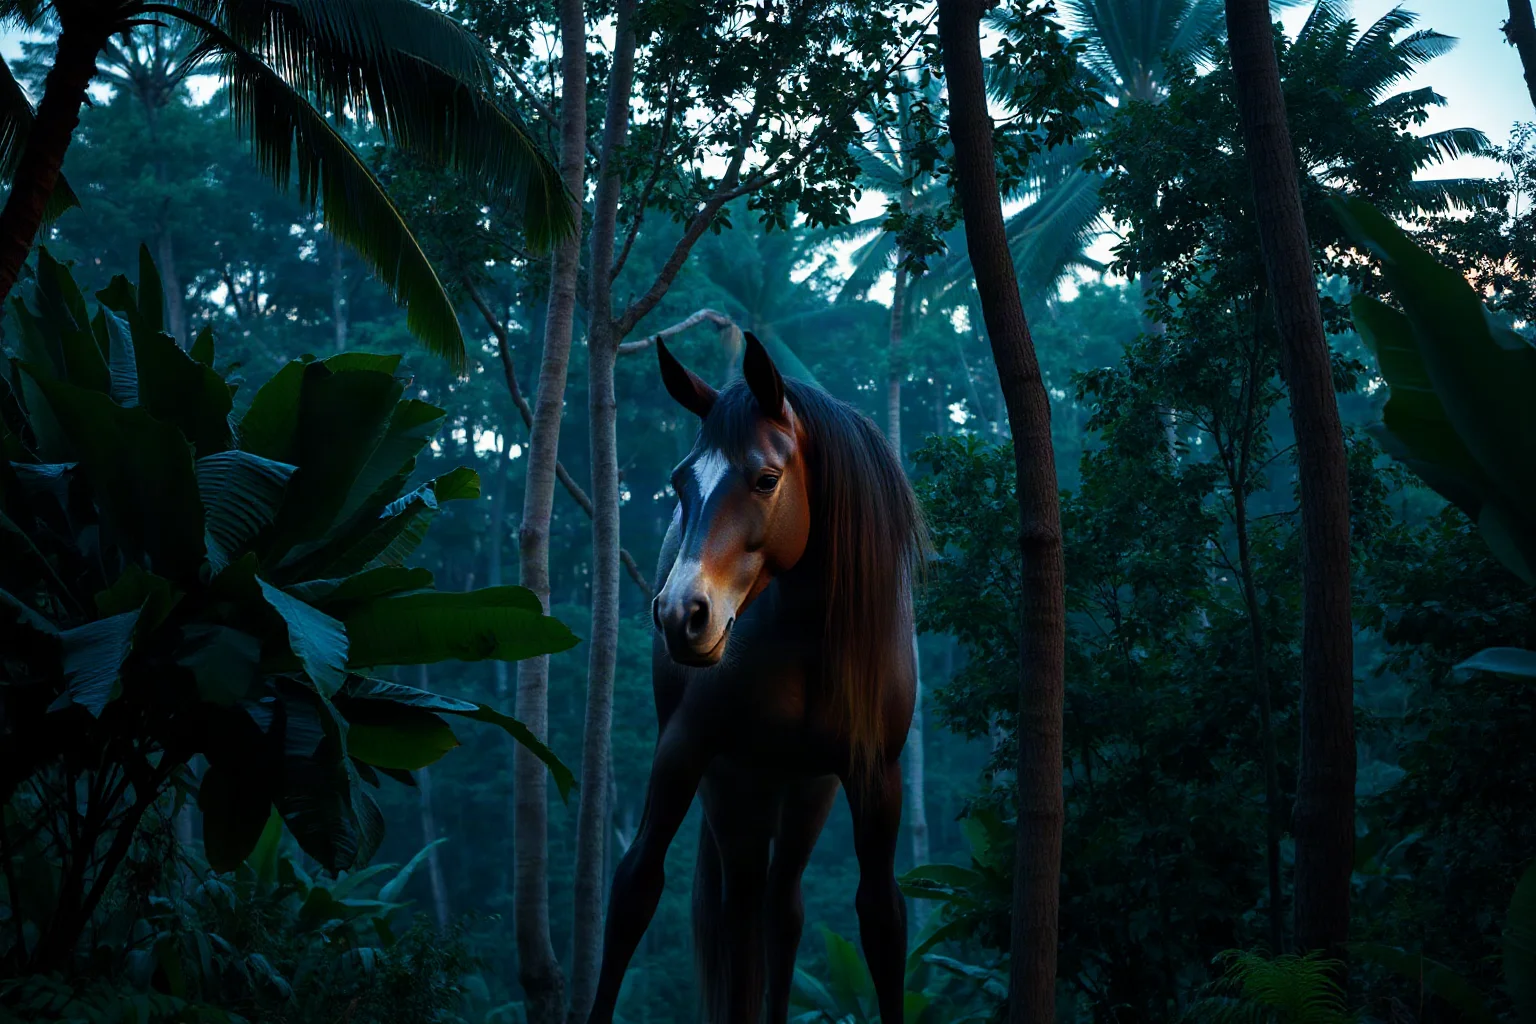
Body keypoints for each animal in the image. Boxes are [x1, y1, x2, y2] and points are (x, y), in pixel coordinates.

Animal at [584, 332, 923, 1024]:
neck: (804, 638)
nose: (679, 614)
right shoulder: (686, 749)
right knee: (740, 909)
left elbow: (882, 919)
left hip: (802, 791)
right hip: (737, 784)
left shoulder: (876, 776)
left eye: (767, 479)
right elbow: (634, 890)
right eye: (681, 482)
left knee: (779, 910)